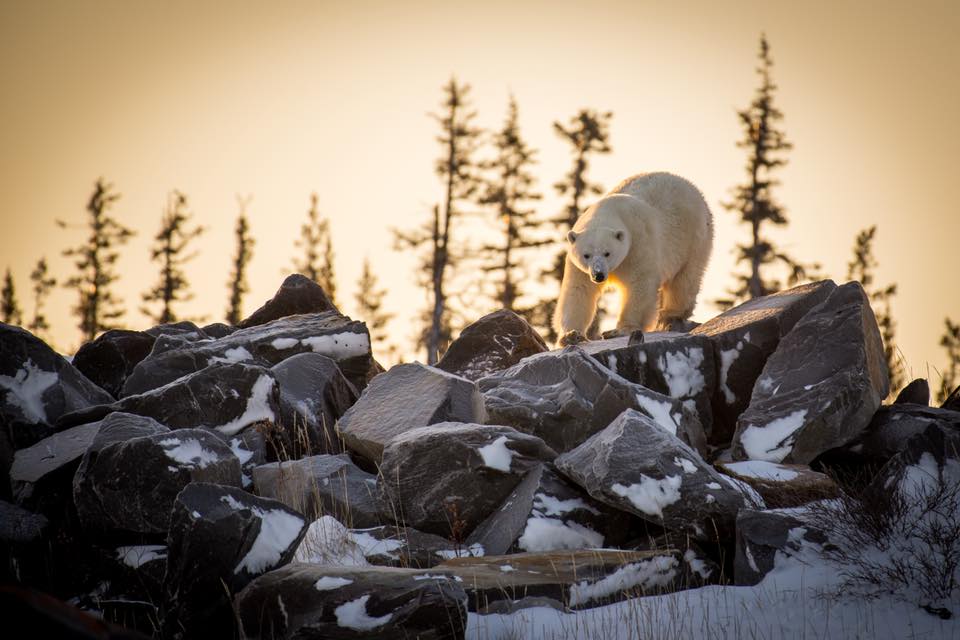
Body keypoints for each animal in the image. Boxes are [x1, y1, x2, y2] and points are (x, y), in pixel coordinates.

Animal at [553, 172, 713, 344]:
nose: (598, 275)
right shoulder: (579, 267)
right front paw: (571, 335)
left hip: (694, 238)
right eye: (586, 255)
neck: (611, 211)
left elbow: (640, 284)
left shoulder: (638, 244)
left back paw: (670, 316)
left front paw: (619, 330)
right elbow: (578, 290)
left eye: (607, 253)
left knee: (685, 278)